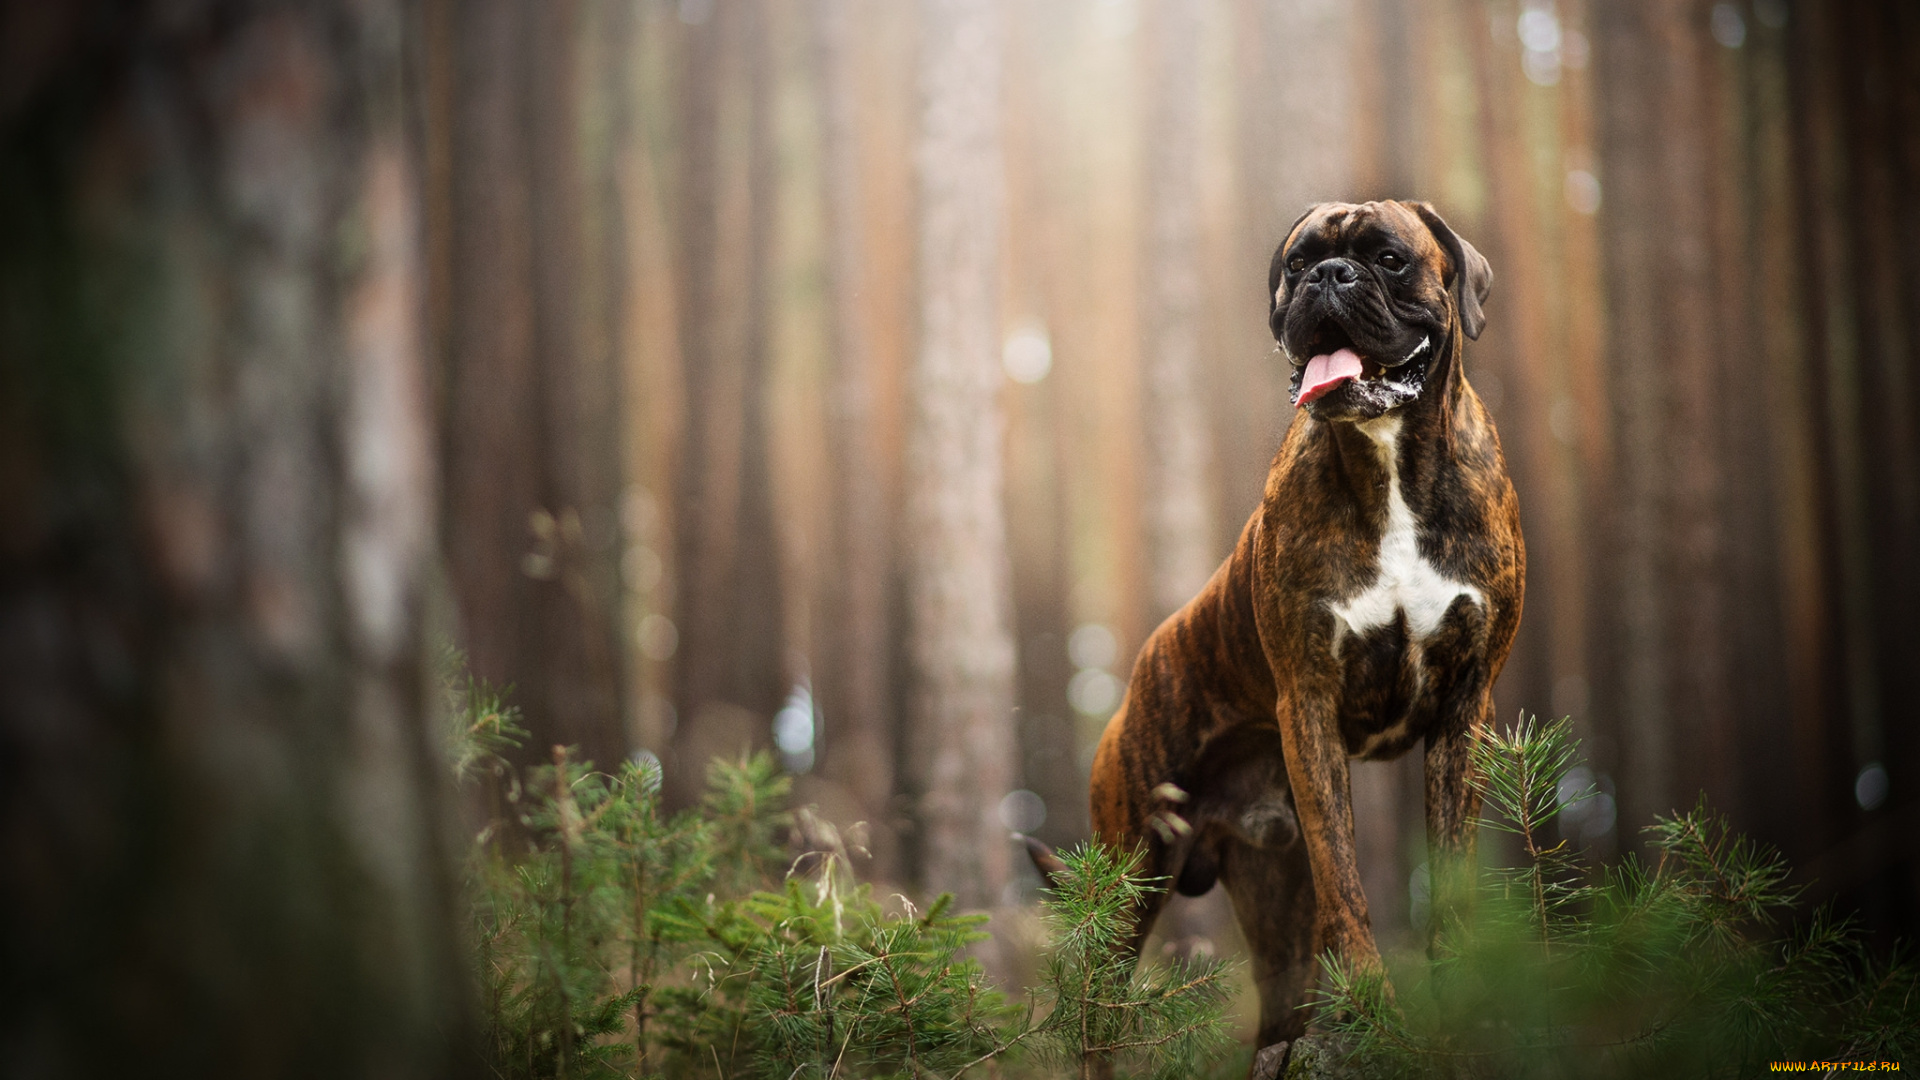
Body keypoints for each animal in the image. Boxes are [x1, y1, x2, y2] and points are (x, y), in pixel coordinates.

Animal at [1044, 199, 1520, 1060]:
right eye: (1297, 264)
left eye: (1389, 258)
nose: (1329, 276)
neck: (1388, 464)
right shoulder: (1309, 703)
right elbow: (1346, 876)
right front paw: (1372, 998)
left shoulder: (1465, 712)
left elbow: (1451, 866)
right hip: (1129, 871)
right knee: (1098, 1007)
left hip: (1272, 901)